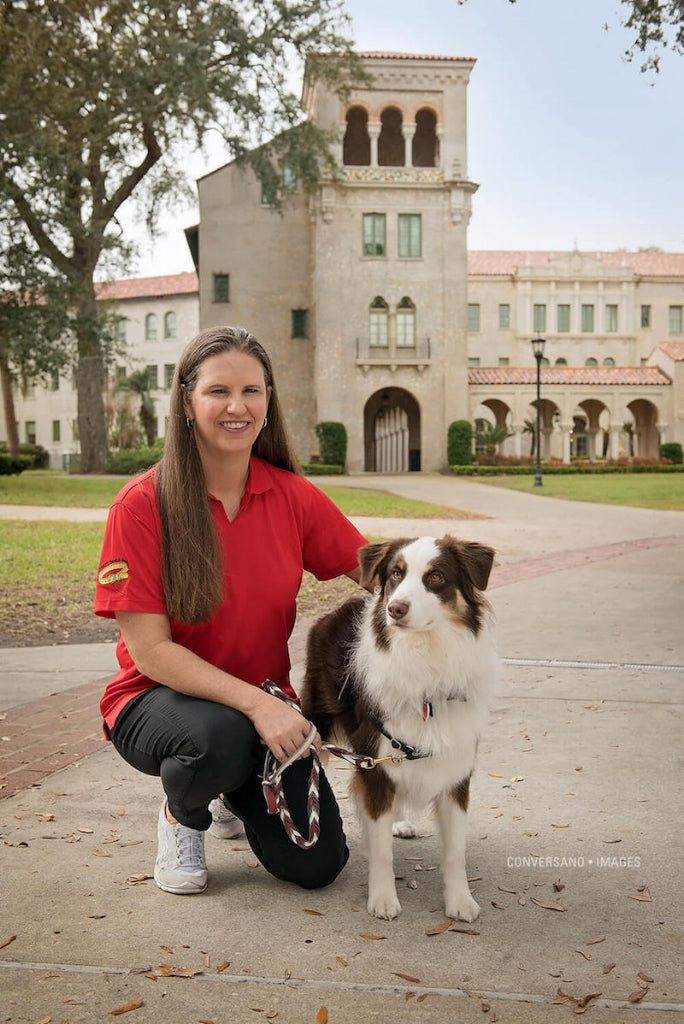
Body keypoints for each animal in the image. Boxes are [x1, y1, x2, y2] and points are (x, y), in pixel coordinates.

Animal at [301, 536, 497, 921]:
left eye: (435, 576)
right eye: (395, 574)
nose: (395, 608)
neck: (425, 662)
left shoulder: (455, 766)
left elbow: (456, 851)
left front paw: (460, 901)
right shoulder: (375, 761)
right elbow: (381, 850)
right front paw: (382, 898)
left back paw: (398, 821)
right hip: (316, 722)